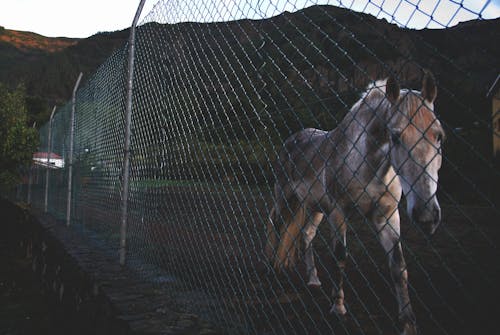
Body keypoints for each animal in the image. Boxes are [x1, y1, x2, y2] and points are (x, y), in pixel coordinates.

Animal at [268, 72, 444, 334]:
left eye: (439, 135)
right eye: (395, 136)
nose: (426, 215)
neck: (367, 164)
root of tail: (292, 140)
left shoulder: (387, 216)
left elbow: (399, 266)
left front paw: (408, 322)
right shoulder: (338, 211)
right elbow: (340, 255)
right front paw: (338, 307)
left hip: (314, 208)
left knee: (306, 234)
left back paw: (313, 279)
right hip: (285, 197)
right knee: (275, 221)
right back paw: (270, 263)